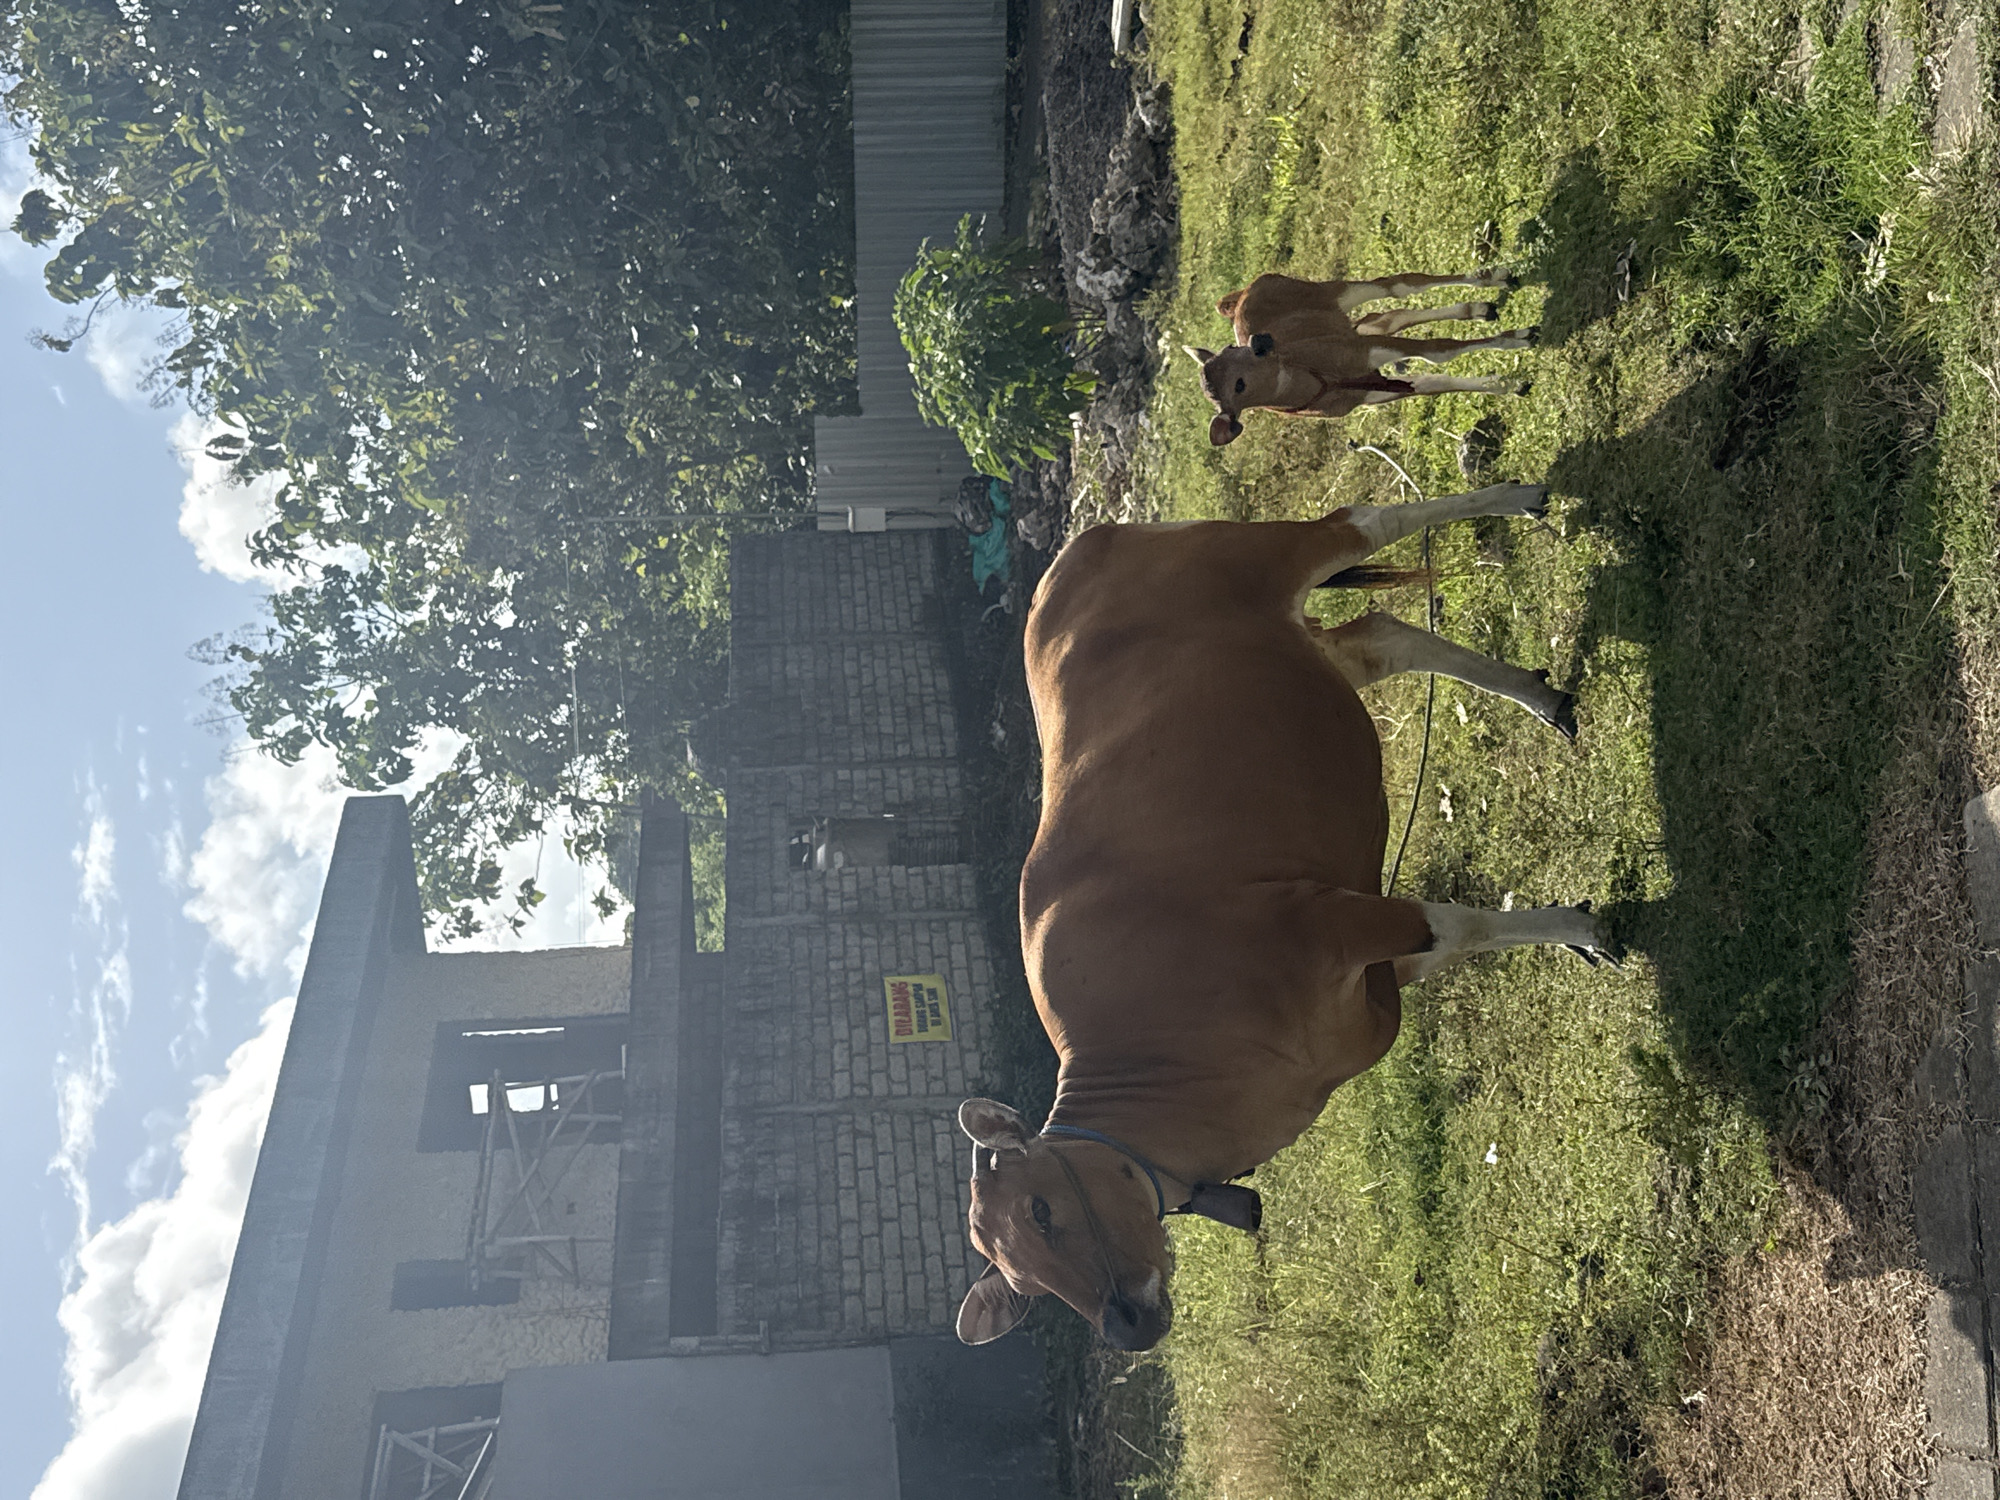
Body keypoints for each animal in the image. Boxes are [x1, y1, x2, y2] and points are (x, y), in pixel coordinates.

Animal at [956, 485, 1618, 1352]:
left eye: (1040, 1210)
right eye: (1027, 1287)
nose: (1124, 1327)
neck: (1171, 1054)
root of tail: (1064, 562)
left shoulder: (1331, 923)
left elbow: (1462, 926)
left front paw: (1591, 930)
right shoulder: (1369, 975)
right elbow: (1455, 940)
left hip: (1270, 552)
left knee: (1366, 523)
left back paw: (1520, 498)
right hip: (1308, 653)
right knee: (1381, 637)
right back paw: (1544, 697)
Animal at [1193, 267, 1535, 446]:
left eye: (1231, 348)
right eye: (1238, 385)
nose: (1261, 341)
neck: (1321, 381)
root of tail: (1240, 295)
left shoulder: (1367, 349)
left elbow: (1439, 351)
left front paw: (1517, 339)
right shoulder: (1378, 389)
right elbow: (1438, 380)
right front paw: (1508, 383)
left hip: (1334, 292)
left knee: (1396, 286)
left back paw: (1494, 280)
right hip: (1349, 320)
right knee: (1391, 315)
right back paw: (1477, 308)